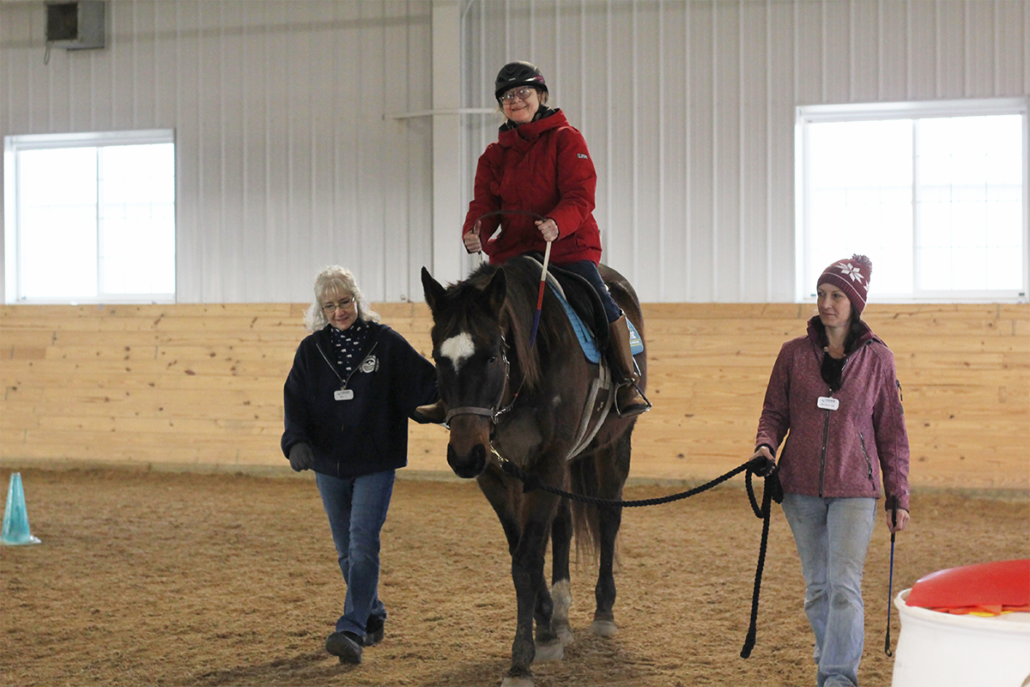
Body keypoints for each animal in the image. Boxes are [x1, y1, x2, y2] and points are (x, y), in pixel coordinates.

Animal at [420, 257, 646, 687]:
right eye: (439, 359)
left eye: (492, 356)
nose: (464, 456)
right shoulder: (497, 472)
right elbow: (524, 548)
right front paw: (546, 628)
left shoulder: (546, 465)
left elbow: (526, 559)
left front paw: (521, 660)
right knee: (564, 526)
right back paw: (560, 614)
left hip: (614, 446)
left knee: (609, 518)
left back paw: (603, 611)